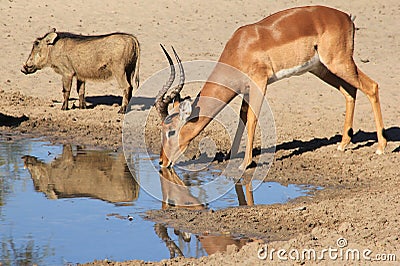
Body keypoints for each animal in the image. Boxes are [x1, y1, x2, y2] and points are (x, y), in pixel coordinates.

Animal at [155, 5, 386, 169]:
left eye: (171, 131)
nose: (161, 162)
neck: (239, 48)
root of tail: (346, 17)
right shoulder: (246, 89)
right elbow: (242, 116)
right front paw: (233, 156)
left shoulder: (259, 82)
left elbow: (252, 118)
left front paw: (245, 163)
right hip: (323, 68)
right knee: (350, 91)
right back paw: (344, 143)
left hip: (339, 63)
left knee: (372, 87)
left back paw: (381, 147)